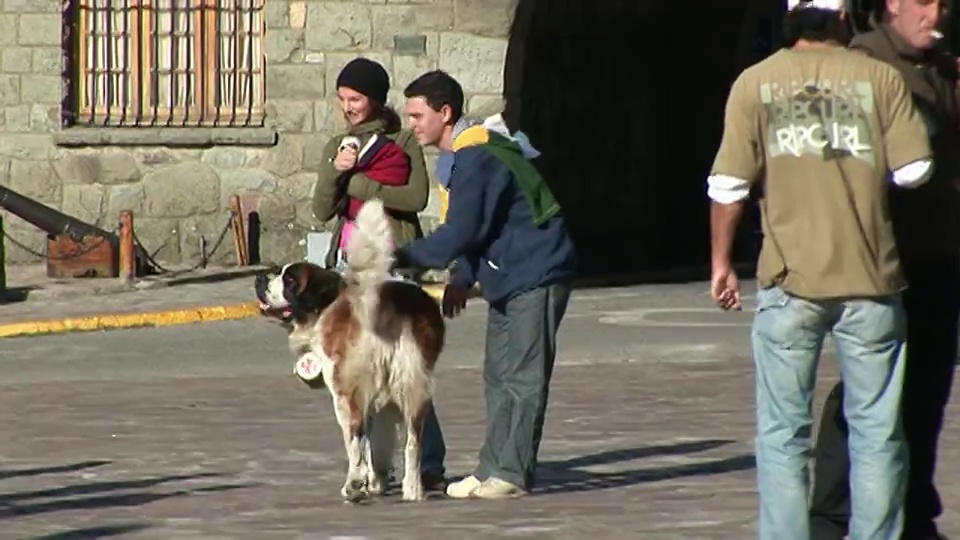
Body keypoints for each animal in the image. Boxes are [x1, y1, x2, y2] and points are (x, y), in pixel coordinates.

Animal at [256, 199, 448, 502]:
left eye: (290, 282)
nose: (260, 279)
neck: (327, 304)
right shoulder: (383, 396)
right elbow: (379, 441)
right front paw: (378, 481)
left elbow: (363, 441)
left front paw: (366, 482)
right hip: (414, 383)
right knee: (413, 441)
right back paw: (412, 489)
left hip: (346, 390)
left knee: (354, 436)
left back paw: (353, 485)